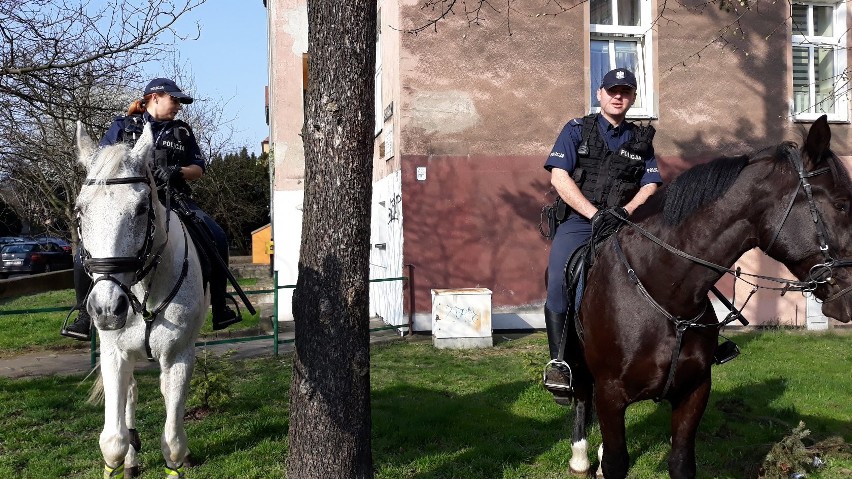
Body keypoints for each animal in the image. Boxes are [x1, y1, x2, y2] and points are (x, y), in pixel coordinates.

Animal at [77, 122, 209, 478]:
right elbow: (113, 441)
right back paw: (132, 460)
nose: (107, 309)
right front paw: (120, 461)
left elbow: (173, 443)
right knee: (131, 396)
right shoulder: (114, 354)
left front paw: (178, 461)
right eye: (80, 210)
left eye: (140, 208)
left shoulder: (178, 356)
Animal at [564, 117, 852, 479]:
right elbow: (615, 460)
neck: (666, 294)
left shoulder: (694, 392)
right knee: (579, 395)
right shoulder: (610, 394)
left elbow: (681, 463)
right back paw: (580, 455)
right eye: (841, 204)